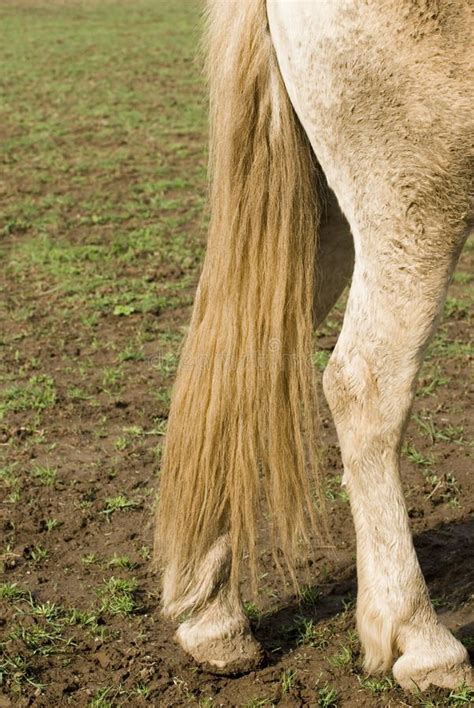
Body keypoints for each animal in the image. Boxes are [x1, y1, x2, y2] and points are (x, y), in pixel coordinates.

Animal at [154, 0, 472, 688]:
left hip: (320, 214)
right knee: (364, 384)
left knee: (238, 365)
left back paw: (211, 619)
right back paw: (422, 640)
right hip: (417, 204)